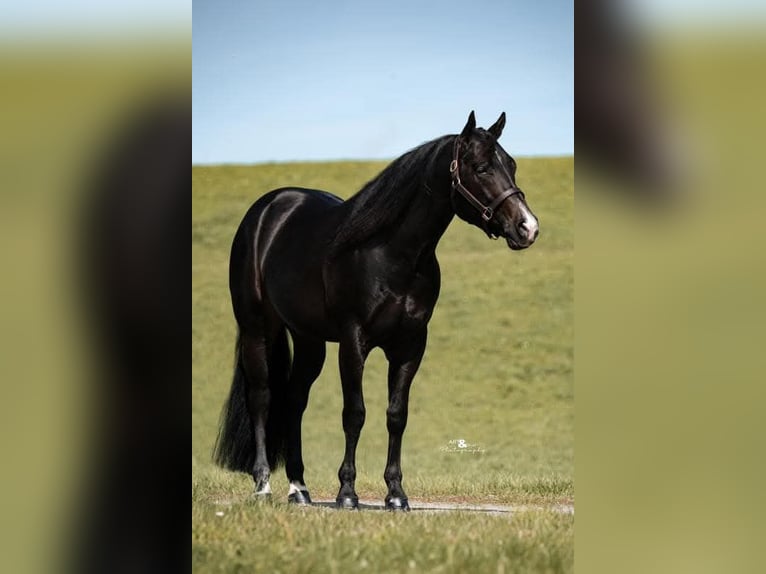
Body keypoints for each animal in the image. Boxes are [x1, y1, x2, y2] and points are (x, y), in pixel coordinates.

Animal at [213, 111, 539, 511]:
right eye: (481, 168)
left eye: (512, 165)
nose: (527, 227)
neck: (391, 253)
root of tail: (267, 210)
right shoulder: (354, 342)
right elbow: (355, 414)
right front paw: (347, 494)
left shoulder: (410, 345)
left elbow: (396, 415)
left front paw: (396, 494)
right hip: (257, 328)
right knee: (261, 397)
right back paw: (263, 485)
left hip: (308, 340)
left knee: (294, 400)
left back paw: (299, 489)